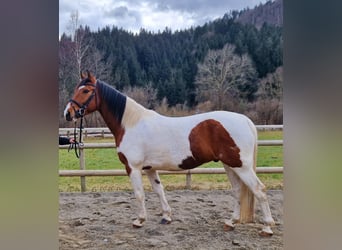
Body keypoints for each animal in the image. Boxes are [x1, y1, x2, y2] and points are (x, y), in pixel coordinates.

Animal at [62, 71, 274, 236]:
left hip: (241, 166)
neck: (131, 123)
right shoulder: (149, 168)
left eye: (86, 90)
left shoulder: (133, 167)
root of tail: (245, 120)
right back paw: (231, 222)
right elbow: (159, 190)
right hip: (229, 165)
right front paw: (166, 217)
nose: (68, 113)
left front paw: (139, 220)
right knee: (238, 190)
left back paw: (267, 228)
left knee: (259, 190)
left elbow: (139, 194)